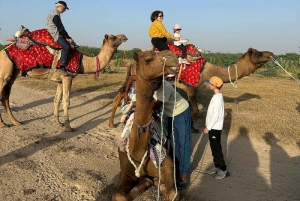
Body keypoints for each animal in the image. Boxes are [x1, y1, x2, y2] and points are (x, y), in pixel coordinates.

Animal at [109, 47, 276, 130]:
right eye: (258, 53)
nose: (271, 54)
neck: (208, 70)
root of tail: (133, 62)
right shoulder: (190, 86)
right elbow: (194, 110)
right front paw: (193, 128)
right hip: (138, 77)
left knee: (119, 95)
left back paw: (112, 122)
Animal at [112, 49, 178, 201]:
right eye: (147, 59)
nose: (173, 57)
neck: (138, 151)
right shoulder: (126, 172)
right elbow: (118, 195)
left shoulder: (166, 164)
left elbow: (173, 194)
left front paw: (162, 187)